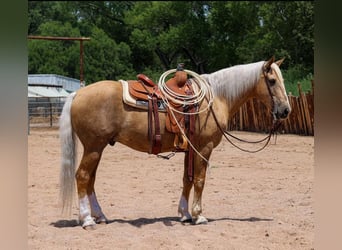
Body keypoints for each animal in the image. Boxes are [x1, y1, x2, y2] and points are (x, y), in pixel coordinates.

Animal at [59, 56, 292, 229]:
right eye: (272, 81)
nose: (285, 111)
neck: (216, 98)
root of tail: (78, 93)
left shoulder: (191, 149)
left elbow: (186, 180)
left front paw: (184, 214)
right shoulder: (204, 148)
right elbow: (199, 180)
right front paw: (198, 215)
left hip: (98, 148)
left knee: (90, 180)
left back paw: (100, 216)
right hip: (93, 147)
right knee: (82, 177)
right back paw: (87, 220)